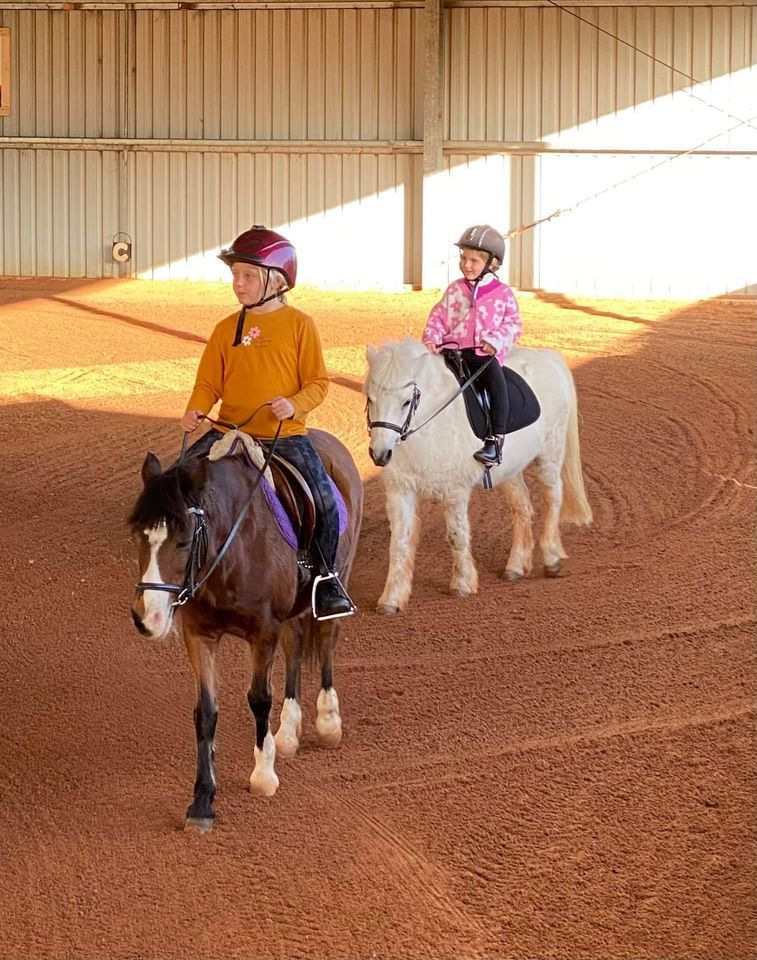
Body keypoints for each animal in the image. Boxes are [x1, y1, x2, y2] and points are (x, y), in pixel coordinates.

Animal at [128, 428, 362, 832]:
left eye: (184, 540)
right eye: (139, 536)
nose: (147, 618)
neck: (230, 551)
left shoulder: (263, 631)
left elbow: (259, 698)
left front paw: (263, 776)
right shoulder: (199, 634)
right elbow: (206, 711)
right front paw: (202, 802)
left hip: (338, 576)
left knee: (326, 640)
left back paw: (328, 722)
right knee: (295, 646)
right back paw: (288, 732)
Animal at [364, 339, 592, 614]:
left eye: (406, 401)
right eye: (370, 398)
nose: (380, 453)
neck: (429, 425)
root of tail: (549, 357)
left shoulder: (455, 490)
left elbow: (457, 535)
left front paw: (462, 584)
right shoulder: (401, 489)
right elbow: (399, 542)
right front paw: (391, 599)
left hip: (551, 453)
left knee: (553, 498)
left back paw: (552, 558)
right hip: (509, 469)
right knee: (522, 506)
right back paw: (516, 566)